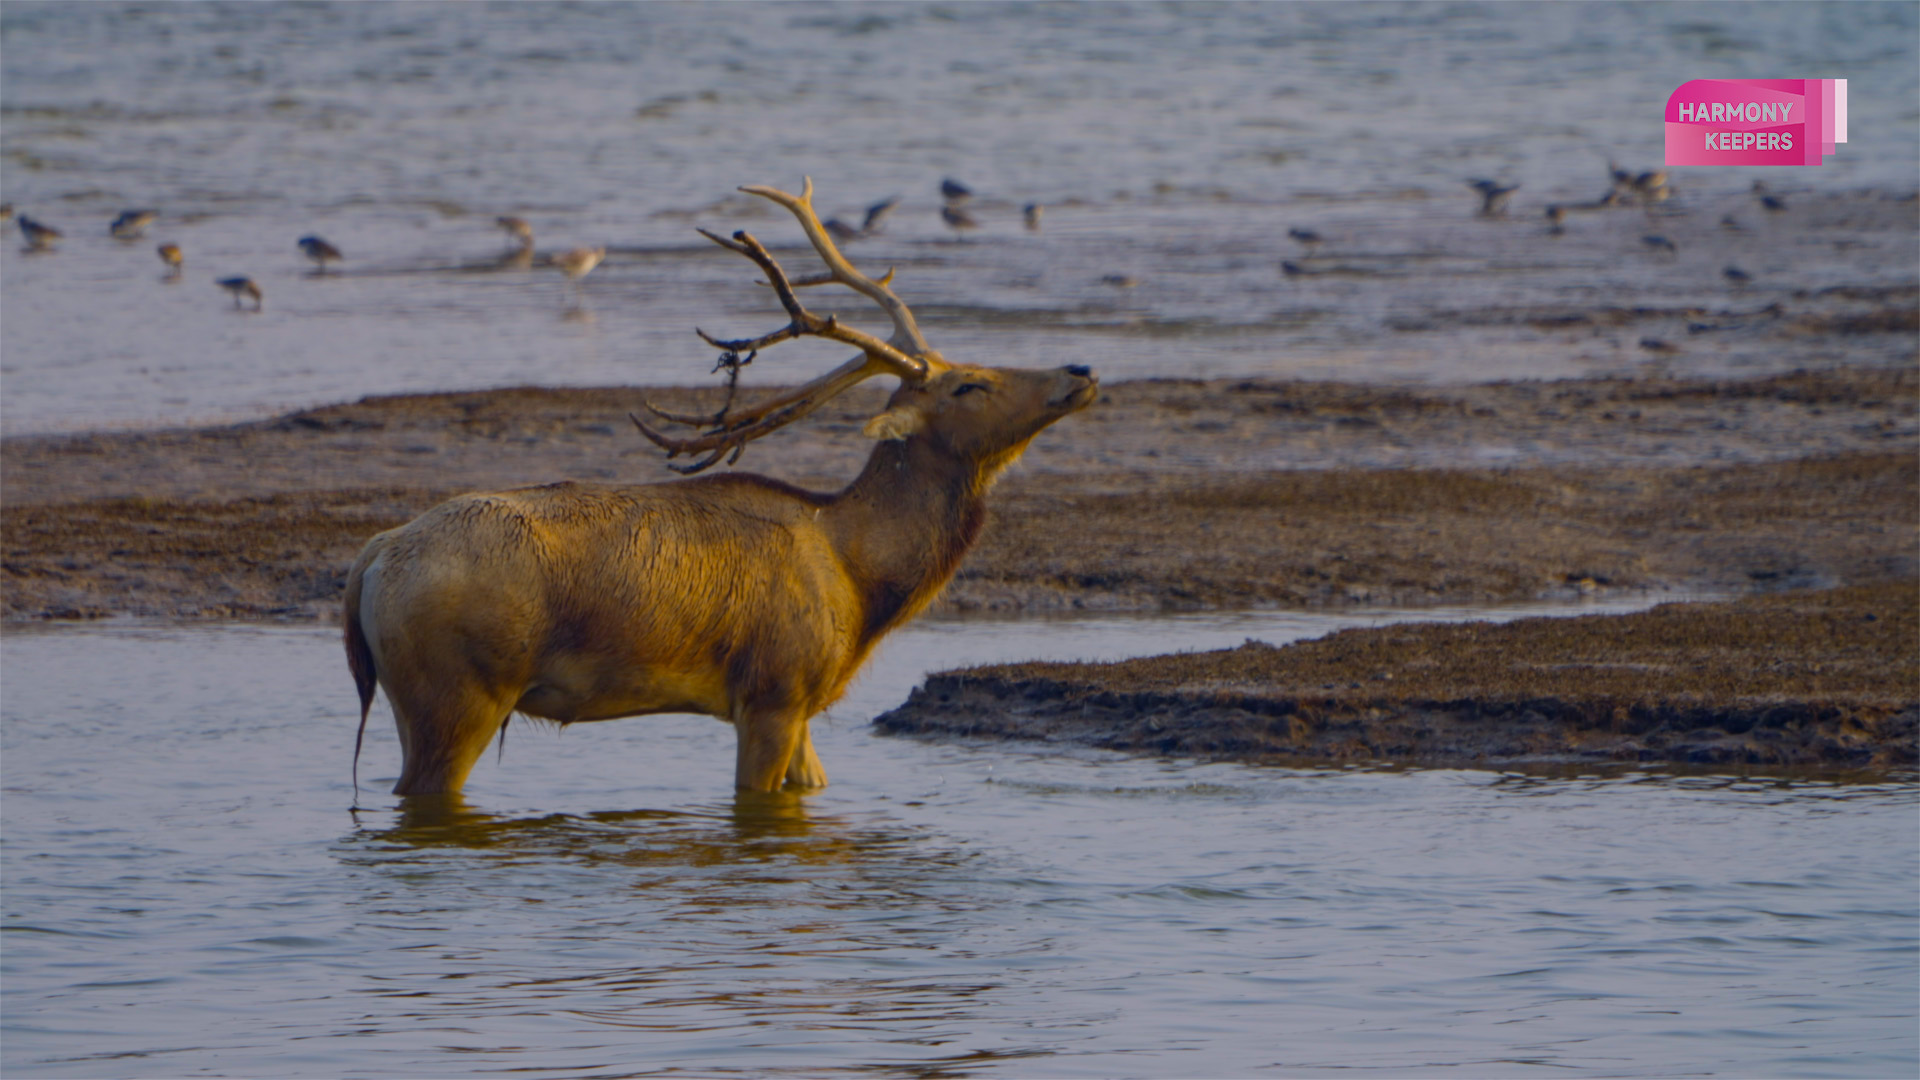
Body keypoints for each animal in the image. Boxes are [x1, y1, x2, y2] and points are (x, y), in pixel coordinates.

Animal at [345, 180, 1098, 795]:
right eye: (968, 384)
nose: (1080, 371)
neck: (860, 581)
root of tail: (373, 558)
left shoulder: (805, 704)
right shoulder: (773, 688)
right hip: (457, 691)